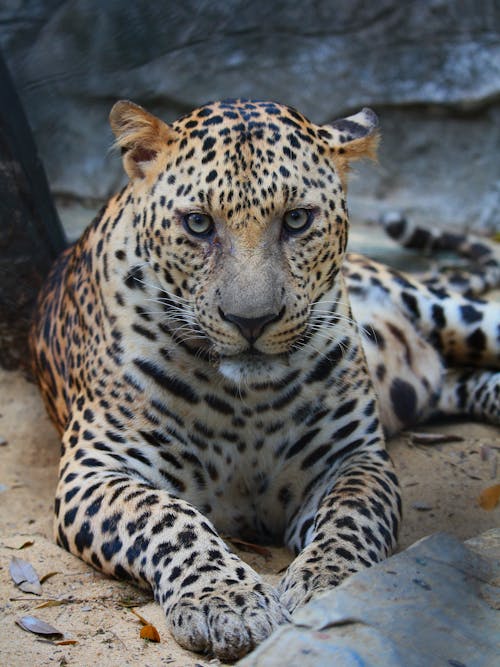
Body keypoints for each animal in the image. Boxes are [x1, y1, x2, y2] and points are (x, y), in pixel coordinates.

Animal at [30, 99, 500, 664]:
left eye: (297, 220)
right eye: (198, 224)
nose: (250, 320)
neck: (245, 402)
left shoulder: (353, 458)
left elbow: (351, 515)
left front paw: (330, 586)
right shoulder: (95, 468)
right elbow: (165, 515)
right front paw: (224, 601)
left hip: (450, 314)